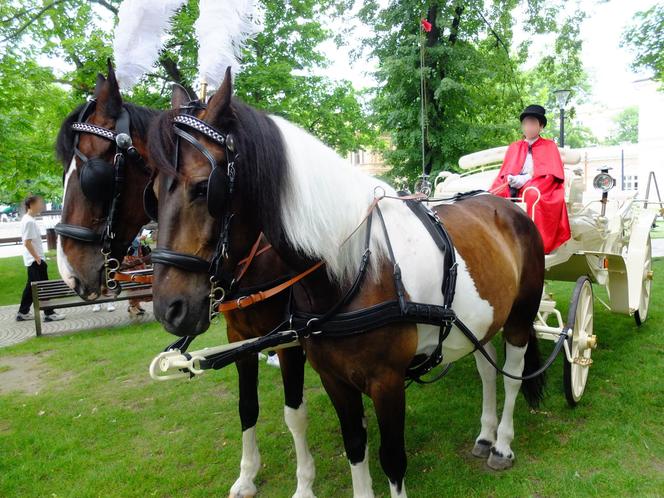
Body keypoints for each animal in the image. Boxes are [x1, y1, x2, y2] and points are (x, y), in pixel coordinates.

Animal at [55, 66, 316, 498]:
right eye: (153, 194)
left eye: (95, 177)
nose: (68, 272)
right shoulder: (239, 337)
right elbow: (247, 407)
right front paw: (247, 475)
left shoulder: (292, 337)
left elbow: (294, 413)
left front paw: (305, 482)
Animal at [148, 70, 548, 498]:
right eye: (151, 192)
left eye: (204, 188)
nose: (169, 308)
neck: (356, 268)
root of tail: (505, 204)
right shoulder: (332, 377)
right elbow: (354, 444)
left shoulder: (386, 381)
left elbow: (392, 459)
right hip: (482, 321)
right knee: (488, 371)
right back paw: (486, 435)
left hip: (520, 317)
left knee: (512, 374)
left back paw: (502, 444)